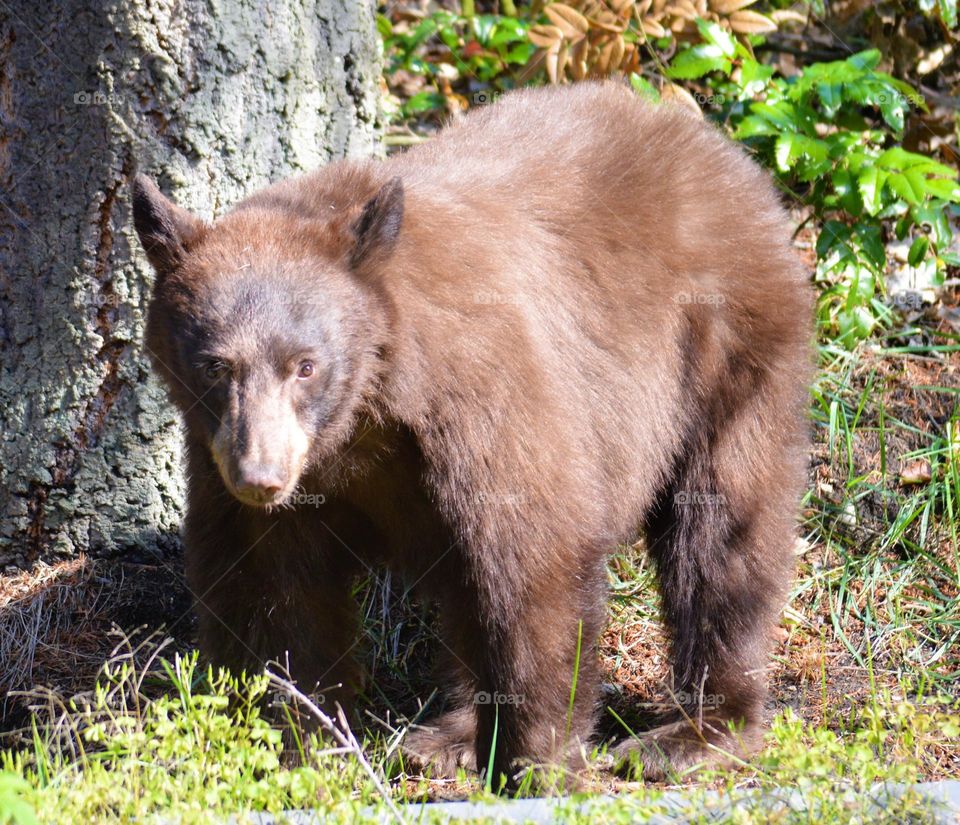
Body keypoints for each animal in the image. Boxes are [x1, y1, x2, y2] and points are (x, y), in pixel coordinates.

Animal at [133, 80, 810, 786]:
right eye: (215, 365)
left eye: (306, 364)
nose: (261, 477)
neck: (365, 419)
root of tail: (716, 149)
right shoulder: (227, 461)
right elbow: (268, 589)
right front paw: (294, 744)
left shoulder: (483, 395)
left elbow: (532, 559)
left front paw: (539, 762)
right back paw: (448, 735)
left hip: (723, 357)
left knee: (722, 536)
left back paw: (697, 731)